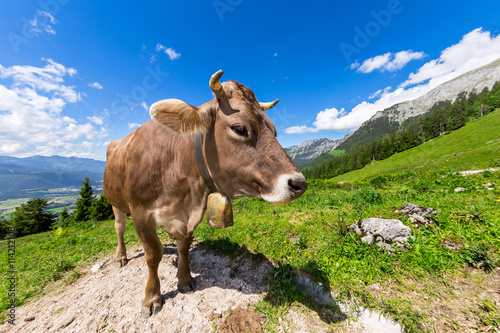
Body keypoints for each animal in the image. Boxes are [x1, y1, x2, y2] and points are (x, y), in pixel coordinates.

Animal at [103, 70, 306, 316]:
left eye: (274, 130)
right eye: (240, 128)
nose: (299, 183)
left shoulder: (191, 214)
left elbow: (183, 247)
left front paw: (184, 280)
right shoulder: (141, 213)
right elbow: (153, 255)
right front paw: (151, 297)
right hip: (116, 202)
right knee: (119, 228)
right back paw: (121, 257)